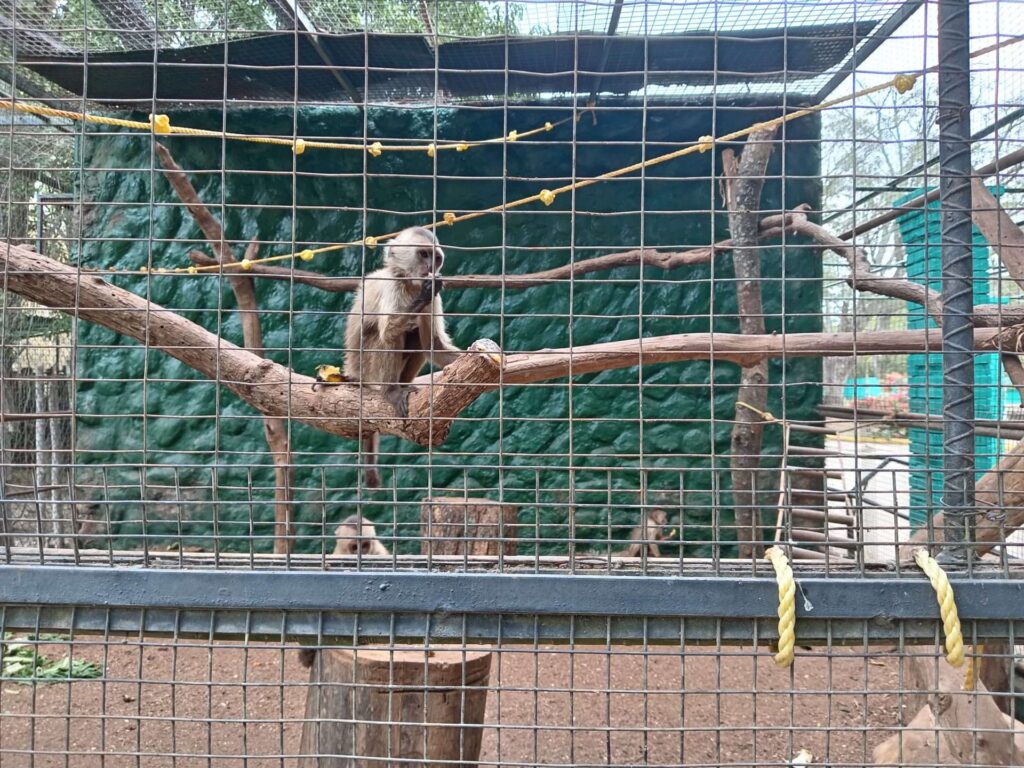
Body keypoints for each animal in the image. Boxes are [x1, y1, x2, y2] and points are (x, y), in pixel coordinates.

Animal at [343, 226, 461, 488]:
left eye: (436, 258)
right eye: (423, 255)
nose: (431, 267)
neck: (410, 283)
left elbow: (433, 345)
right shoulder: (393, 285)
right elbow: (388, 332)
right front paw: (425, 291)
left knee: (416, 337)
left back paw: (404, 385)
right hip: (366, 368)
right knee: (388, 335)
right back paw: (390, 391)